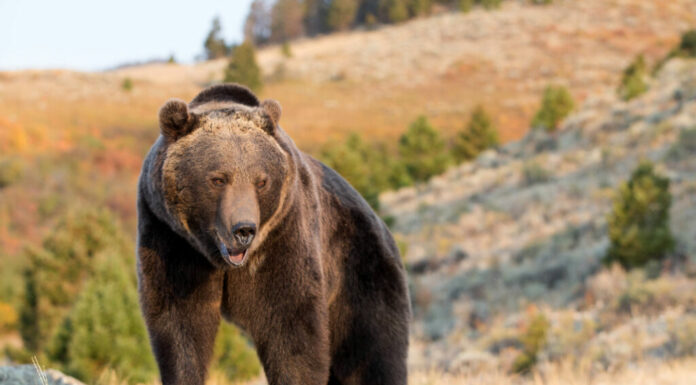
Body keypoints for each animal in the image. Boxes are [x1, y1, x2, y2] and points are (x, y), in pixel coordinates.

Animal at [135, 84, 408, 384]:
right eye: (218, 179)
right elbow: (180, 325)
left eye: (261, 181)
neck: (220, 261)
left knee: (371, 355)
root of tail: (381, 224)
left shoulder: (283, 236)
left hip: (359, 274)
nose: (244, 229)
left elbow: (291, 328)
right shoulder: (171, 238)